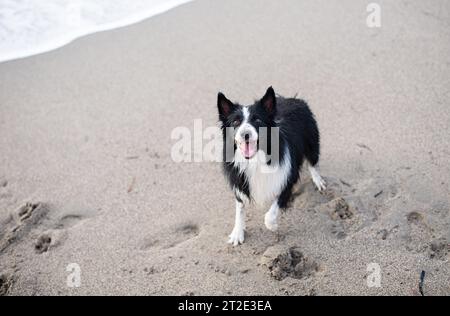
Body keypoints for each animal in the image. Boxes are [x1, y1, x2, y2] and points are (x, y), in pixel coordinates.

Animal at [217, 86, 326, 247]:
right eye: (235, 121)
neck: (256, 160)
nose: (245, 134)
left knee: (313, 162)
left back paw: (318, 181)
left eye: (257, 119)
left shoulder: (287, 177)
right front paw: (237, 232)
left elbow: (271, 213)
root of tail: (293, 99)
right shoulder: (240, 180)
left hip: (312, 140)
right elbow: (240, 207)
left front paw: (273, 226)